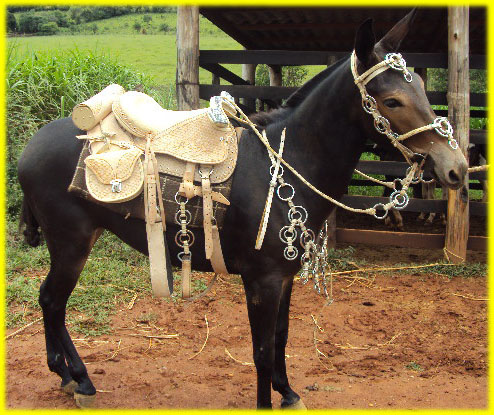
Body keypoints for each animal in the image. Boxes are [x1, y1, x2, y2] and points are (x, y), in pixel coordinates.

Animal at [16, 9, 466, 410]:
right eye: (392, 100)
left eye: (421, 88)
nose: (456, 168)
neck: (287, 162)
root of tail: (31, 147)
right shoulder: (261, 280)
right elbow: (262, 351)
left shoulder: (283, 276)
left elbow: (280, 338)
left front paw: (288, 393)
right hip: (71, 243)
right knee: (51, 301)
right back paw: (77, 379)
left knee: (52, 302)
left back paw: (68, 376)